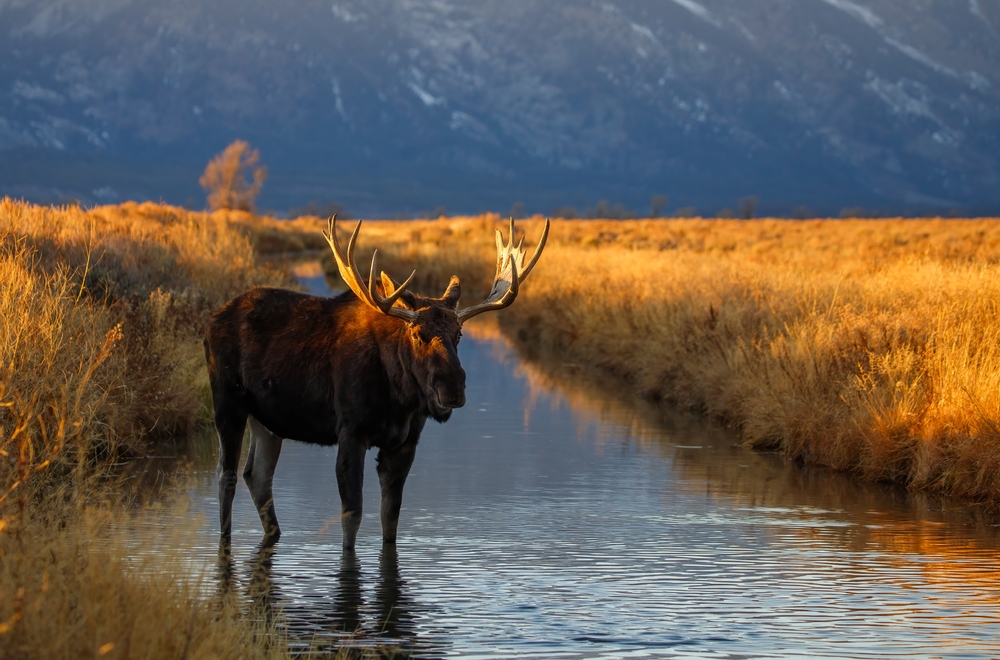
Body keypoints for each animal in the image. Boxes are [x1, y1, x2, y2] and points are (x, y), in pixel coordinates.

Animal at [204, 216, 549, 549]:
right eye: (417, 334)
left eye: (459, 335)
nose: (452, 389)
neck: (399, 398)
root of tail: (212, 318)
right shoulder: (351, 432)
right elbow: (352, 517)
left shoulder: (405, 443)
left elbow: (391, 518)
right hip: (228, 401)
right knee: (226, 475)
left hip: (268, 420)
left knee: (257, 474)